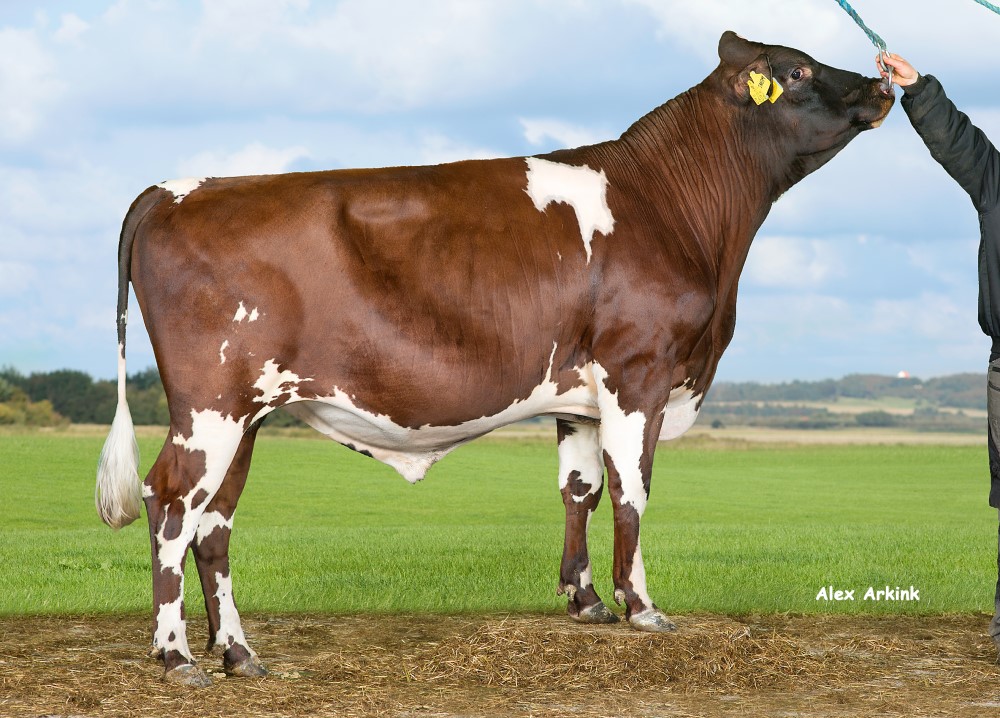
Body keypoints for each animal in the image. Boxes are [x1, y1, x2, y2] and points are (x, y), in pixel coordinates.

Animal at [96, 32, 893, 686]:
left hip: (247, 414)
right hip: (210, 406)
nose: (883, 85)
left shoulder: (580, 395)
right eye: (798, 70)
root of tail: (176, 189)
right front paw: (642, 608)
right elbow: (632, 492)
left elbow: (580, 490)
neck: (674, 208)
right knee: (171, 501)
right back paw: (177, 657)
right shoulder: (639, 371)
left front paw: (586, 602)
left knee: (215, 523)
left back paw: (240, 655)